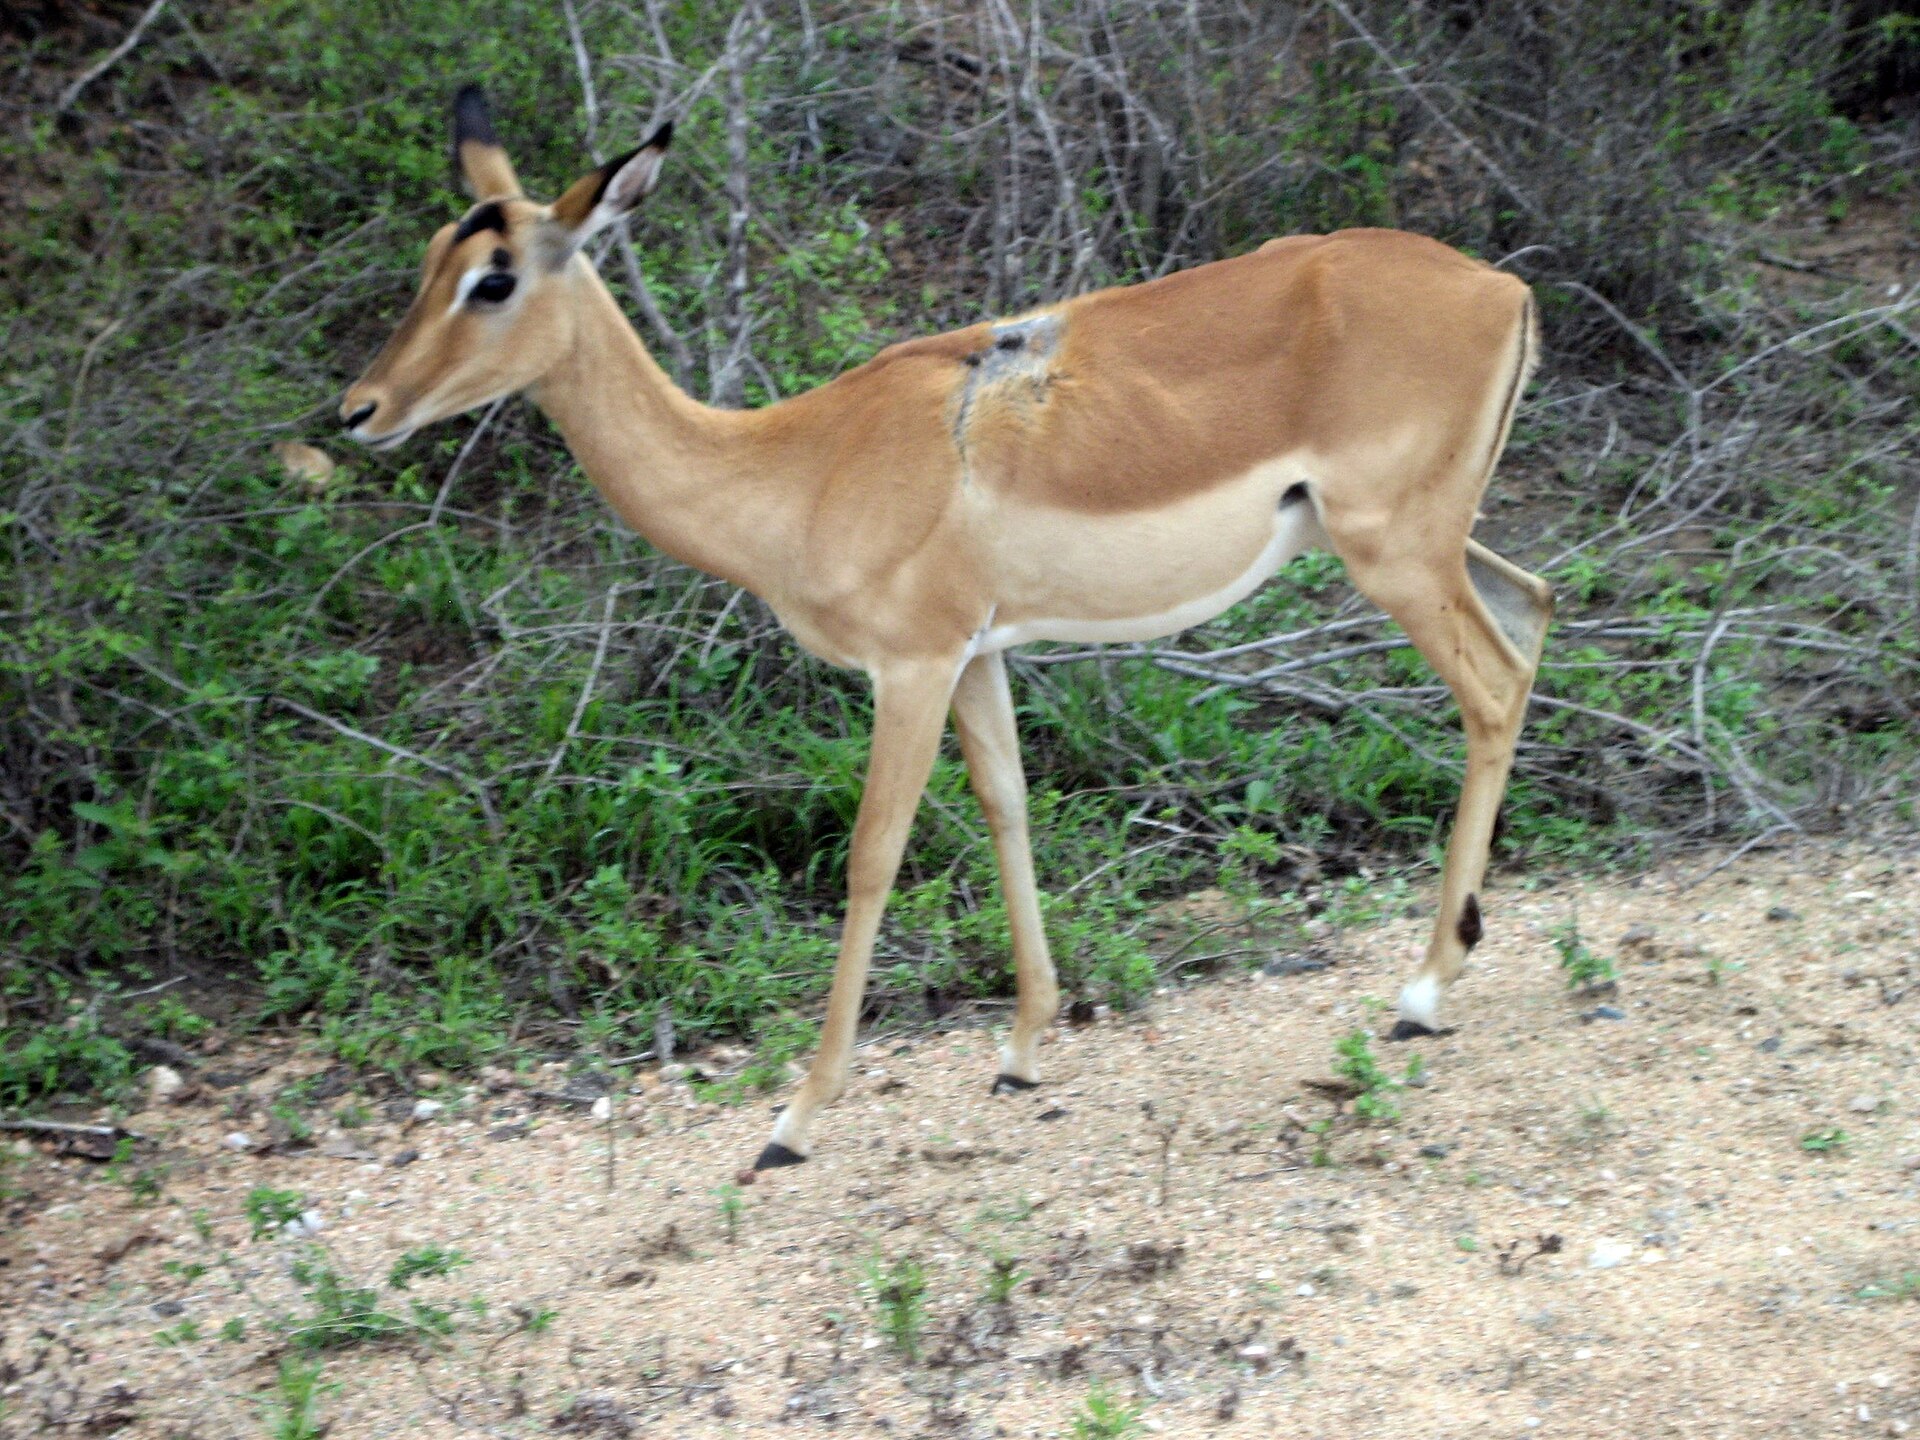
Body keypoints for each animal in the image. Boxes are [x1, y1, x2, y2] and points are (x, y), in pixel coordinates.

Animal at [340, 88, 1553, 1172]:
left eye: (494, 279)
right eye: (433, 259)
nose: (358, 410)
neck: (794, 469)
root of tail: (1502, 287)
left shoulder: (911, 666)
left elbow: (872, 856)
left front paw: (794, 1119)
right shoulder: (983, 655)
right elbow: (1008, 806)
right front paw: (1020, 1051)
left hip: (1393, 554)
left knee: (1491, 687)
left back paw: (1421, 992)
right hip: (1425, 547)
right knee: (1533, 607)